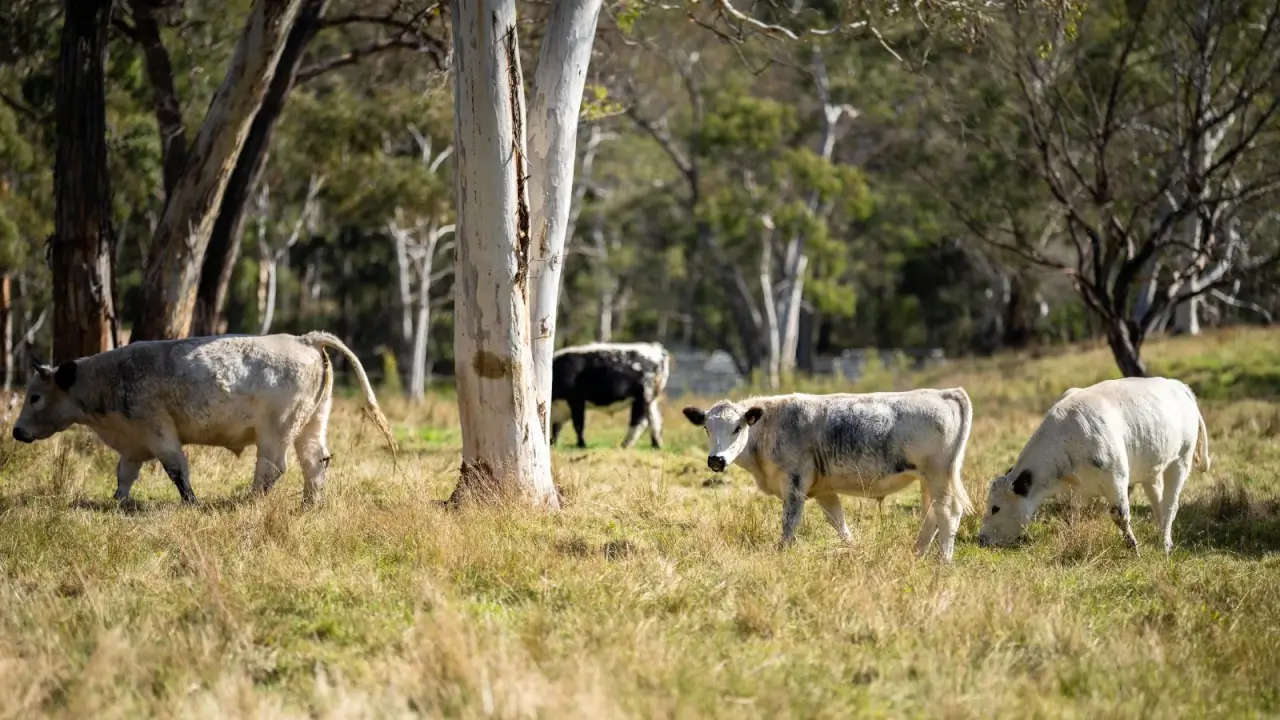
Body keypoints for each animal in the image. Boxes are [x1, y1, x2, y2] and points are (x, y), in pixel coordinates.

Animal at [10, 331, 396, 507]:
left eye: (35, 396)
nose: (16, 431)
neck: (112, 376)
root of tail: (305, 339)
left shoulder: (159, 431)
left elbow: (176, 469)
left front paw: (191, 502)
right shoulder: (134, 443)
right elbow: (125, 474)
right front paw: (118, 501)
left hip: (277, 431)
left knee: (273, 468)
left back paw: (247, 501)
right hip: (311, 425)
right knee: (315, 463)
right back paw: (309, 505)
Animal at [682, 388, 975, 561]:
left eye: (737, 428)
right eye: (707, 428)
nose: (716, 460)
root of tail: (945, 393)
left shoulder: (794, 485)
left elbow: (789, 523)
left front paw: (780, 554)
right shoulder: (824, 491)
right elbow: (839, 522)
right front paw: (854, 550)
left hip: (939, 475)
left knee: (948, 513)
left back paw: (944, 562)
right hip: (927, 480)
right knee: (931, 515)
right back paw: (916, 555)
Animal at [978, 376, 1210, 556]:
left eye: (995, 508)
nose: (981, 539)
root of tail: (1179, 386)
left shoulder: (1116, 477)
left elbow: (1120, 515)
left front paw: (1134, 550)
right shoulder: (1079, 489)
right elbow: (1071, 515)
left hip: (1180, 461)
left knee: (1171, 504)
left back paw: (1166, 545)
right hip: (1151, 471)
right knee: (1158, 502)